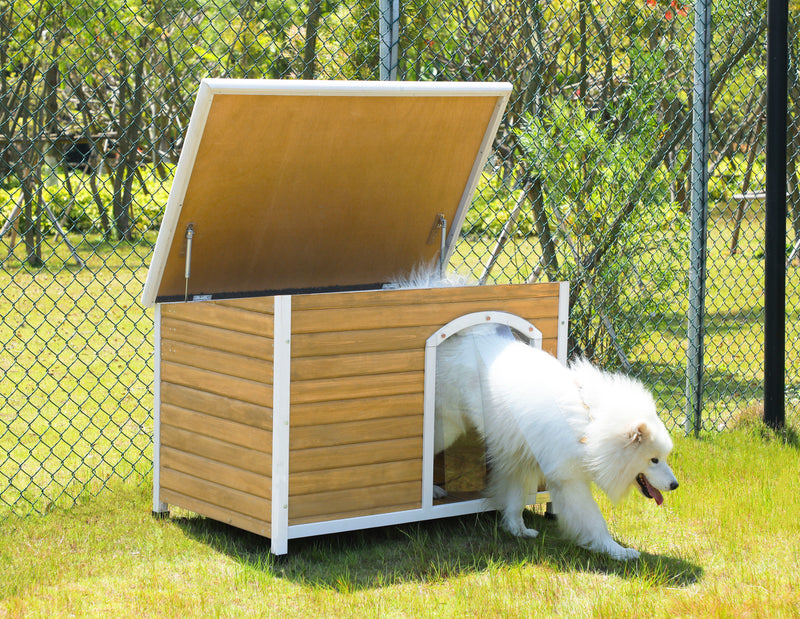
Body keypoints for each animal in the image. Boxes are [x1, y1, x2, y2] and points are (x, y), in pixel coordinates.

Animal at [434, 324, 680, 560]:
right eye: (654, 460)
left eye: (664, 458)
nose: (675, 485)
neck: (590, 425)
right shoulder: (570, 479)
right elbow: (594, 519)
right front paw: (615, 551)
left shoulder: (519, 458)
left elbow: (515, 499)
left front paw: (517, 530)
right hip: (448, 429)